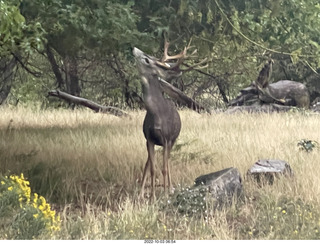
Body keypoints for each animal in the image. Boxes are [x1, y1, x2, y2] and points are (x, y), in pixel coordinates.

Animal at [133, 40, 206, 200]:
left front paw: (166, 193)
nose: (134, 48)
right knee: (149, 163)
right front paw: (152, 196)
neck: (156, 114)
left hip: (173, 139)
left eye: (147, 60)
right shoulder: (149, 138)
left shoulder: (166, 138)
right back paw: (141, 193)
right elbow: (153, 168)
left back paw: (170, 188)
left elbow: (164, 168)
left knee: (168, 161)